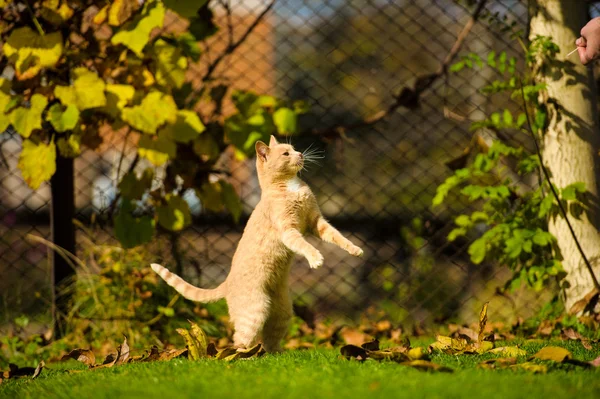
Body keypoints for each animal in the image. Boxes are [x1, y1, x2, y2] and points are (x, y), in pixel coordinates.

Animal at [152, 135, 364, 354]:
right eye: (286, 153)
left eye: (293, 148)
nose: (300, 154)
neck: (290, 186)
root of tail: (227, 282)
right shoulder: (289, 231)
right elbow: (305, 245)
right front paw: (315, 258)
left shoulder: (317, 223)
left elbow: (337, 236)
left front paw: (354, 249)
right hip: (255, 312)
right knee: (239, 341)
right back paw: (242, 356)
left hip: (282, 312)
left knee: (269, 341)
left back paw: (278, 354)